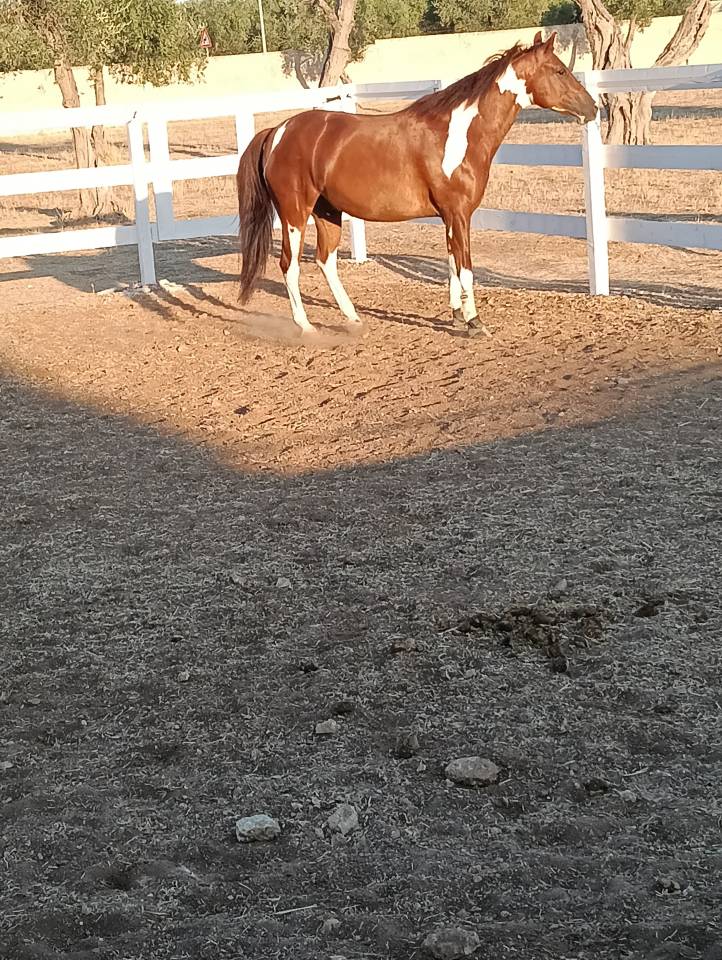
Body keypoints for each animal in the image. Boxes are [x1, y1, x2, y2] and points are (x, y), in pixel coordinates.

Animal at [235, 31, 597, 337]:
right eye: (559, 71)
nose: (593, 108)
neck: (457, 135)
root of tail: (277, 131)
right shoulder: (459, 214)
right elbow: (465, 266)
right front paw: (475, 323)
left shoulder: (450, 217)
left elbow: (452, 262)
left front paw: (456, 315)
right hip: (295, 214)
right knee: (290, 265)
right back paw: (306, 327)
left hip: (327, 213)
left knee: (326, 262)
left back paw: (353, 319)